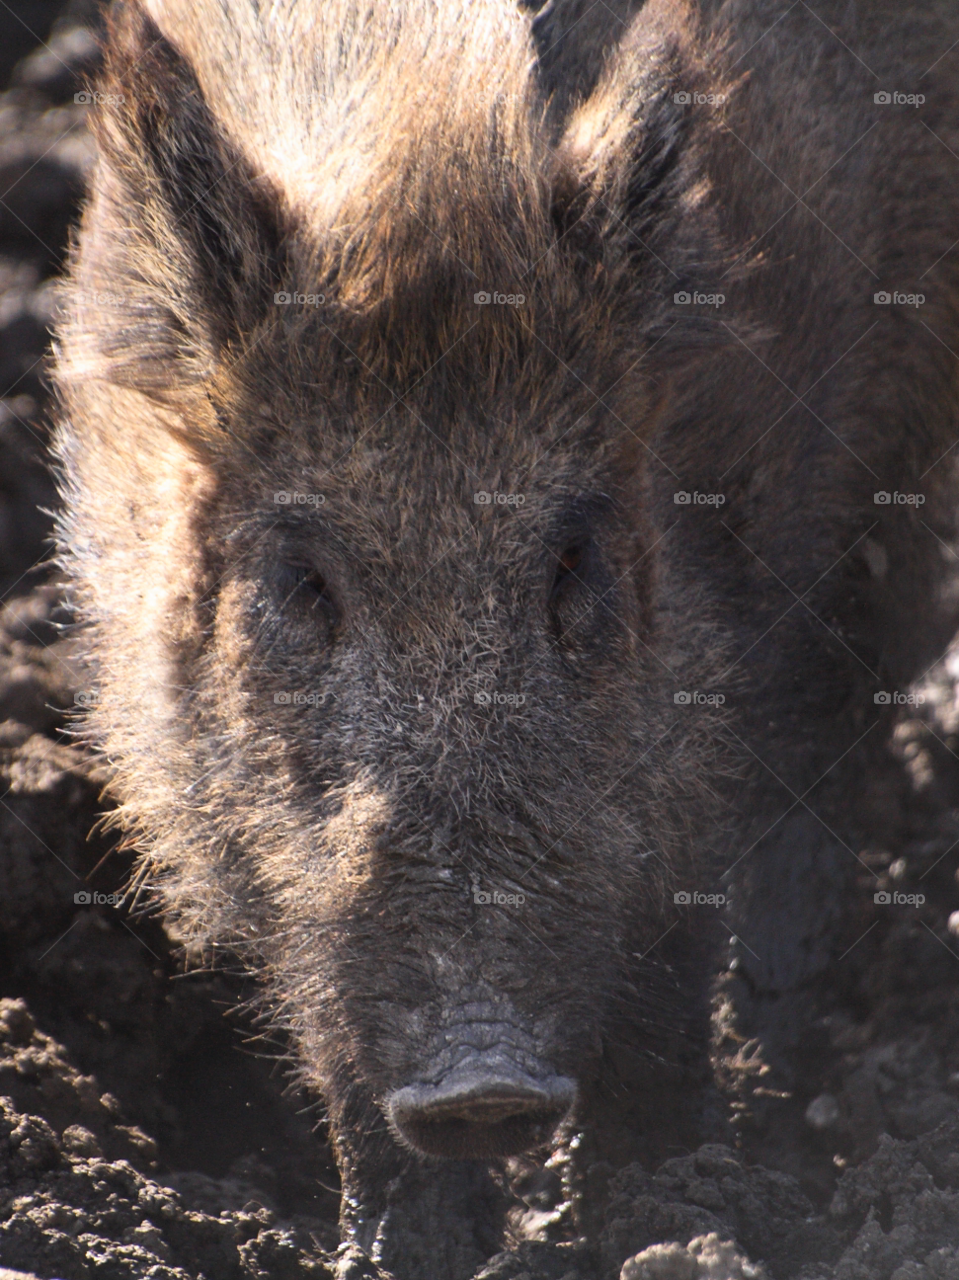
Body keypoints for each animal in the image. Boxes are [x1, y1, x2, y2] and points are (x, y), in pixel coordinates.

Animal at [52, 0, 959, 1275]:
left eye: (573, 560)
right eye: (300, 577)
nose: (481, 1080)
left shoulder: (701, 706)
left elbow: (668, 961)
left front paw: (671, 1207)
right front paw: (399, 1251)